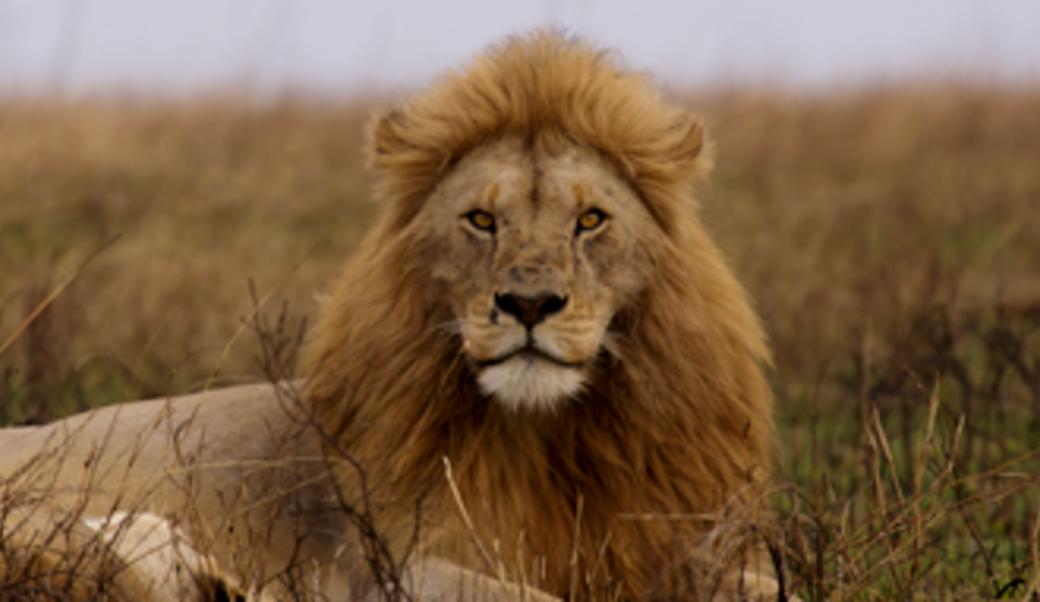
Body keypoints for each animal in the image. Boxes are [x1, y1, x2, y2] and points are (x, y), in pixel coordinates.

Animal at [0, 31, 776, 600]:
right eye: (481, 220)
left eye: (590, 220)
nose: (528, 303)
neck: (549, 441)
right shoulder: (394, 565)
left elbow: (771, 588)